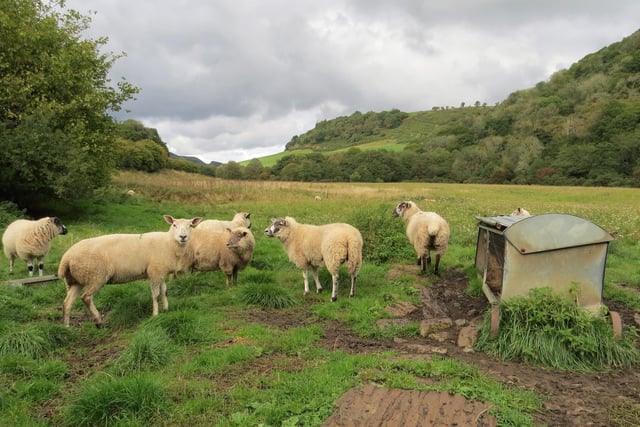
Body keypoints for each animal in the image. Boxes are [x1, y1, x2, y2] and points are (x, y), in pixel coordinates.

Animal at [58, 214, 202, 328]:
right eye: (174, 225)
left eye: (190, 225)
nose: (183, 237)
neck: (169, 243)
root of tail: (66, 258)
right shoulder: (155, 271)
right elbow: (156, 295)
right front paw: (155, 315)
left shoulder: (160, 271)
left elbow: (164, 291)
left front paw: (166, 309)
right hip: (96, 276)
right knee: (86, 298)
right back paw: (99, 321)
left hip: (76, 280)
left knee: (67, 303)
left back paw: (66, 327)